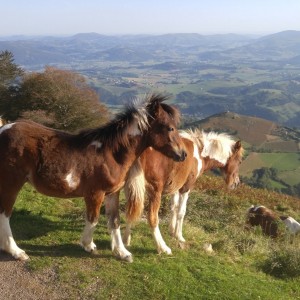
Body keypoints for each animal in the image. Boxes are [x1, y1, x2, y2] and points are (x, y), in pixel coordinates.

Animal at [0, 94, 188, 260]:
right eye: (170, 128)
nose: (183, 154)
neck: (111, 153)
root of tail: (3, 130)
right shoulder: (95, 193)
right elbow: (93, 219)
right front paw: (88, 244)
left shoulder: (112, 193)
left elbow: (114, 221)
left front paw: (122, 252)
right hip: (11, 183)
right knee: (5, 213)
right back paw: (15, 251)